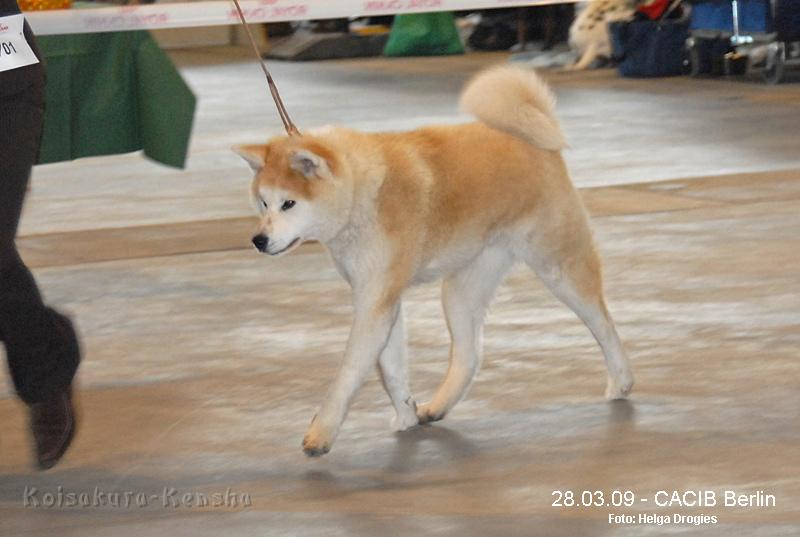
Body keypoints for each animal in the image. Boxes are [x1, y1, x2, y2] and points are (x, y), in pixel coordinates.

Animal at [234, 65, 636, 454]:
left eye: (289, 203)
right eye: (263, 203)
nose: (259, 240)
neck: (363, 194)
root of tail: (536, 141)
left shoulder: (374, 300)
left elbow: (349, 371)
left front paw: (321, 433)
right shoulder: (380, 297)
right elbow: (392, 368)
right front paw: (406, 416)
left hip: (558, 267)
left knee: (604, 323)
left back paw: (621, 381)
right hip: (462, 287)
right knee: (469, 354)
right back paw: (437, 406)